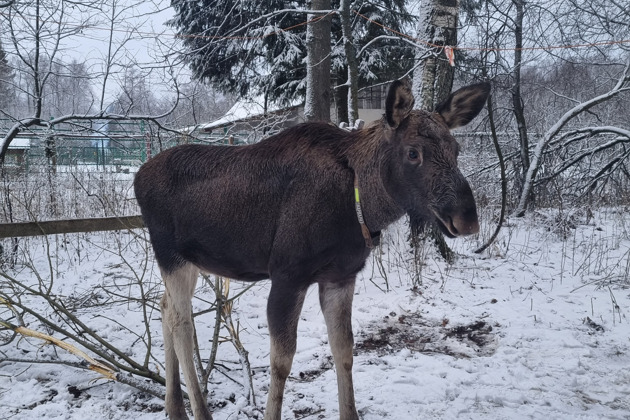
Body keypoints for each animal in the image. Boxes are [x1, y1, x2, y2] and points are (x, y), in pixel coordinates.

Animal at [136, 79, 494, 420]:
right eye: (413, 153)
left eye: (457, 149)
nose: (467, 219)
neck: (360, 207)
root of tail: (138, 178)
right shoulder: (287, 275)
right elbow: (281, 362)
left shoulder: (340, 276)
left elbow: (344, 350)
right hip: (171, 255)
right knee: (181, 321)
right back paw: (198, 411)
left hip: (189, 262)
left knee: (164, 306)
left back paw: (175, 407)